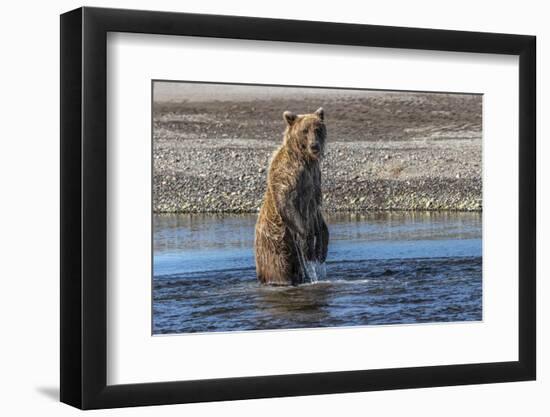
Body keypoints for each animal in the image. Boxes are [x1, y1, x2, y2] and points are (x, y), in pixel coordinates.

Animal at [256, 106, 330, 286]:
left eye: (318, 129)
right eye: (304, 131)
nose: (314, 146)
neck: (305, 159)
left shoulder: (315, 181)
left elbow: (319, 215)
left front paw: (321, 251)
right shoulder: (289, 175)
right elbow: (287, 203)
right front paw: (308, 245)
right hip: (277, 247)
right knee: (279, 269)